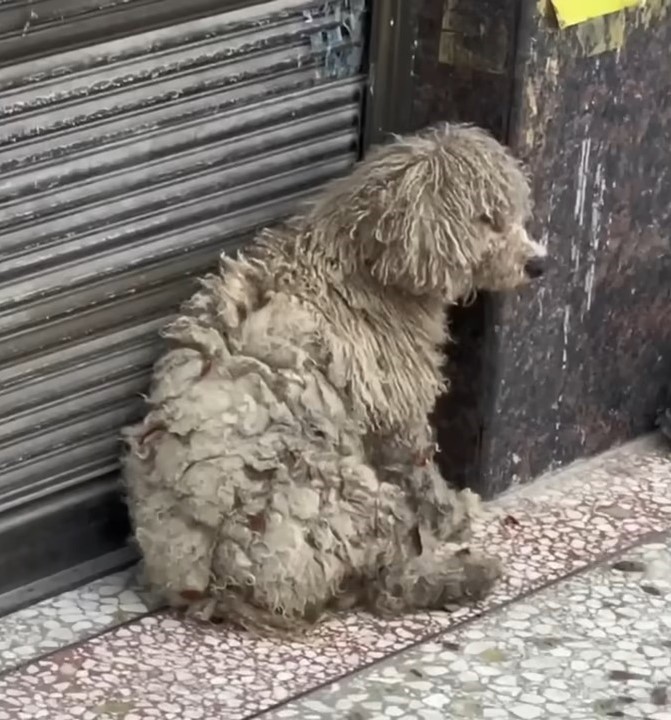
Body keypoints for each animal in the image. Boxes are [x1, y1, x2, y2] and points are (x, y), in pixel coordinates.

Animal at [123, 124, 548, 636]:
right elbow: (419, 463)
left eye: (511, 214)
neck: (363, 266)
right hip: (345, 498)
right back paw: (463, 574)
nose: (538, 264)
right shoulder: (395, 402)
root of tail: (216, 585)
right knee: (389, 581)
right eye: (487, 219)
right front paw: (450, 512)